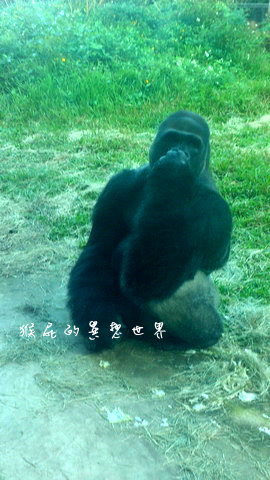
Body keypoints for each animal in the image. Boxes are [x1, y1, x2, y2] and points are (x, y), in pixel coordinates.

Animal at [67, 112, 232, 352]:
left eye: (193, 145)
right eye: (172, 138)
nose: (180, 150)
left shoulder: (214, 208)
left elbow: (150, 277)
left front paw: (173, 174)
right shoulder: (118, 185)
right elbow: (99, 250)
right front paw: (98, 320)